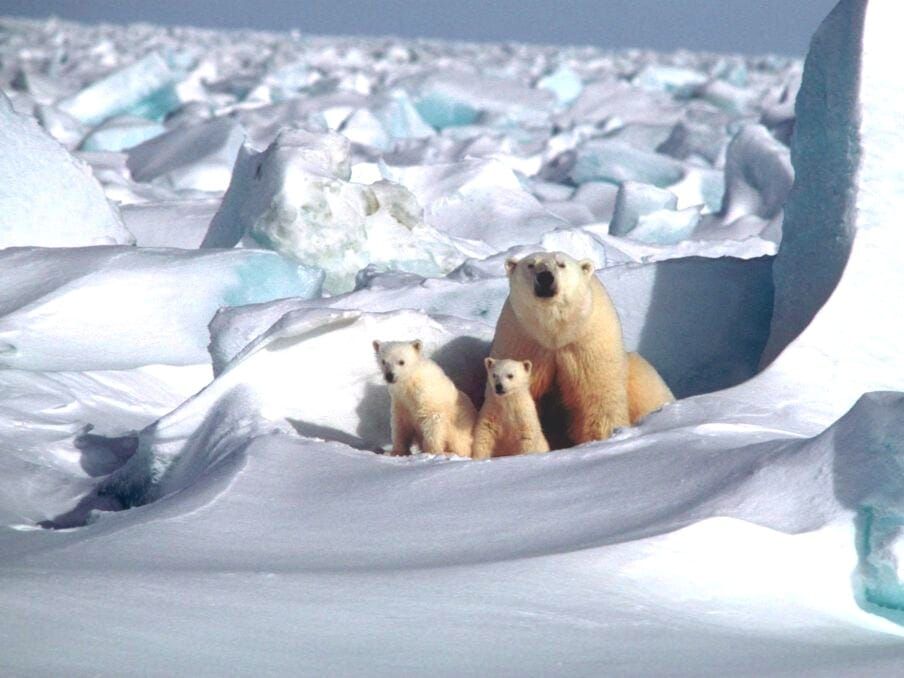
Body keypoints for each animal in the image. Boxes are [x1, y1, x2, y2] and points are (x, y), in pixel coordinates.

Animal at [489, 251, 674, 447]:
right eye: (531, 264)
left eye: (561, 264)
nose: (545, 277)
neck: (555, 333)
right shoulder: (523, 341)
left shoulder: (587, 343)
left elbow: (597, 395)